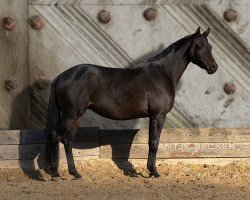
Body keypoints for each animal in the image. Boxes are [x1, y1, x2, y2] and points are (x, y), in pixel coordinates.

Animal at [44, 27, 217, 180]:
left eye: (210, 46)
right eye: (199, 46)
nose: (213, 67)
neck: (163, 72)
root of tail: (60, 77)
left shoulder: (152, 117)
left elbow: (150, 142)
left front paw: (149, 170)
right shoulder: (158, 116)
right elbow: (154, 143)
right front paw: (154, 172)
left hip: (77, 116)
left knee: (67, 140)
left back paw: (75, 173)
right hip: (70, 115)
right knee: (55, 136)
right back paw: (55, 173)